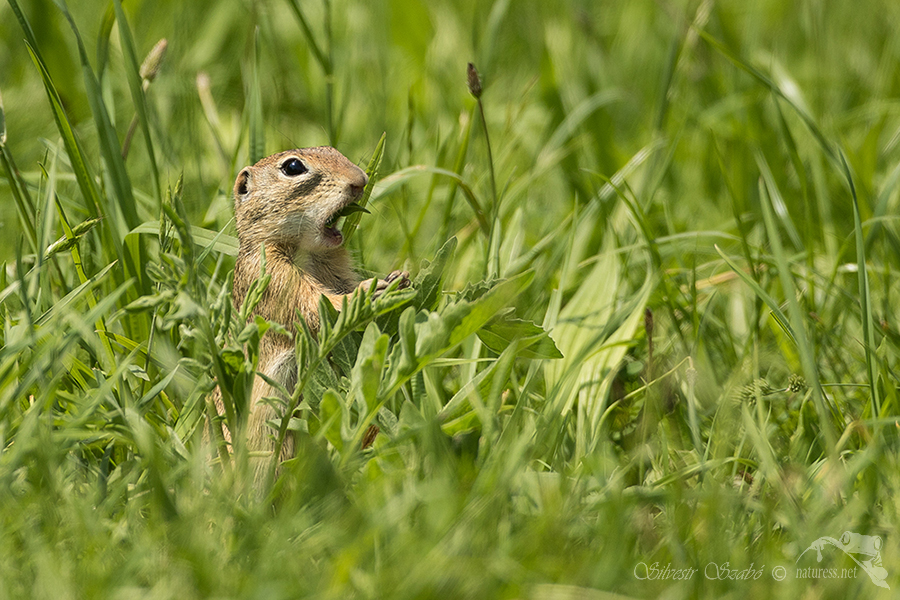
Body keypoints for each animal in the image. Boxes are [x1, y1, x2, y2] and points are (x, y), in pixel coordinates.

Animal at [211, 146, 408, 478]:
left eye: (333, 150)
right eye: (293, 167)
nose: (361, 180)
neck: (308, 252)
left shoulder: (336, 269)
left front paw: (399, 278)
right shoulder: (275, 278)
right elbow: (318, 306)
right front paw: (370, 291)